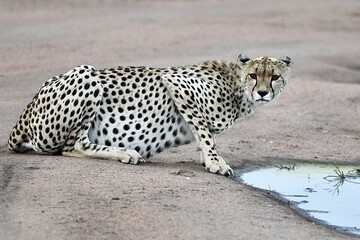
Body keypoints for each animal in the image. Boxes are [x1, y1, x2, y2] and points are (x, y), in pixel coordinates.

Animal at [7, 54, 292, 176]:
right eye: (254, 75)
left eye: (274, 77)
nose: (263, 92)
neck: (236, 85)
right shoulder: (177, 83)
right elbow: (206, 133)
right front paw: (215, 162)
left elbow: (204, 136)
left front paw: (208, 158)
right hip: (86, 73)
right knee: (72, 146)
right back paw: (125, 152)